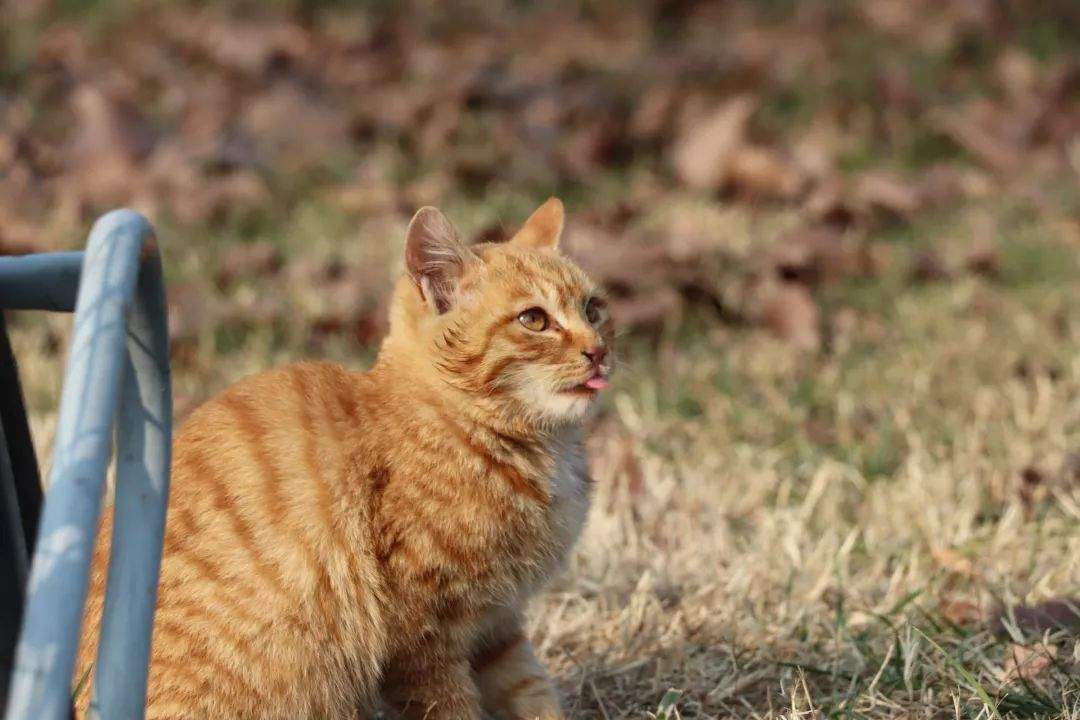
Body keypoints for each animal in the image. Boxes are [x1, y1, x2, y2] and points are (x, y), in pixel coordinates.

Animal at [75, 197, 613, 720]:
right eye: (534, 320)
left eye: (593, 309)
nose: (599, 351)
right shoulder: (423, 638)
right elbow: (451, 708)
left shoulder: (497, 626)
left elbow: (533, 696)